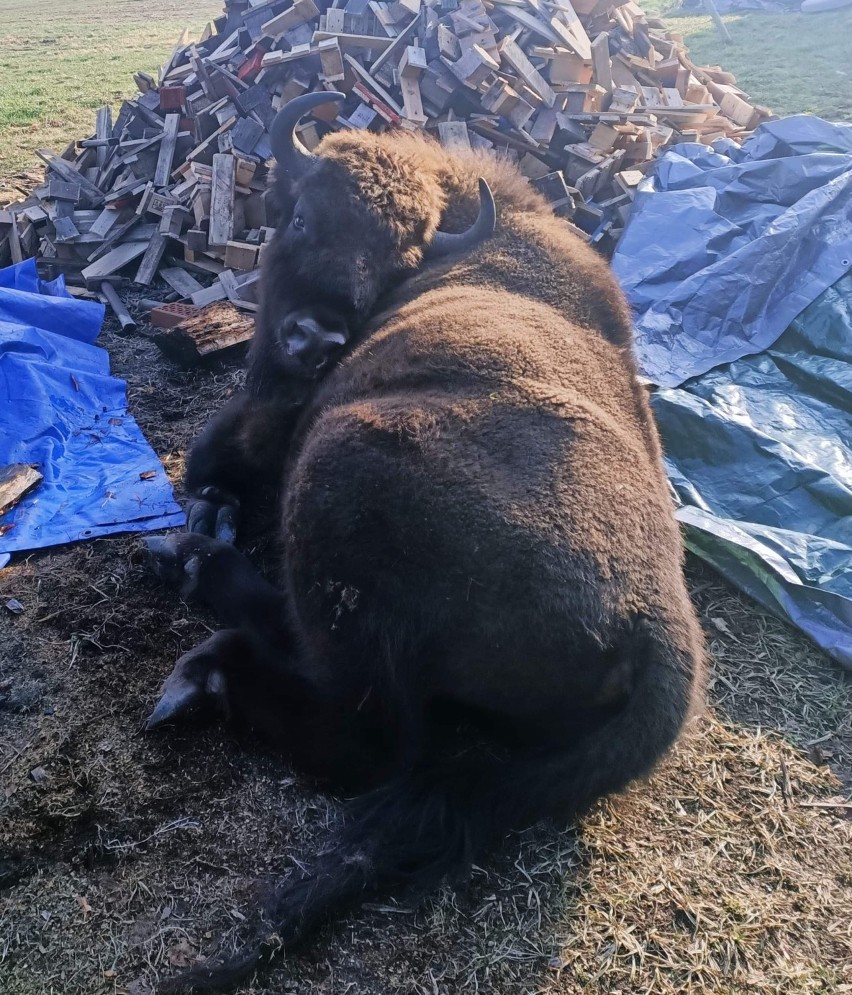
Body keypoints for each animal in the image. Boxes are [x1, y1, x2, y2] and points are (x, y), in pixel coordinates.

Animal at [146, 91, 704, 988]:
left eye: (393, 263)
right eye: (299, 216)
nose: (314, 339)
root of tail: (660, 634)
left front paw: (201, 526)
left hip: (340, 478)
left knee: (359, 728)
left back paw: (198, 629)